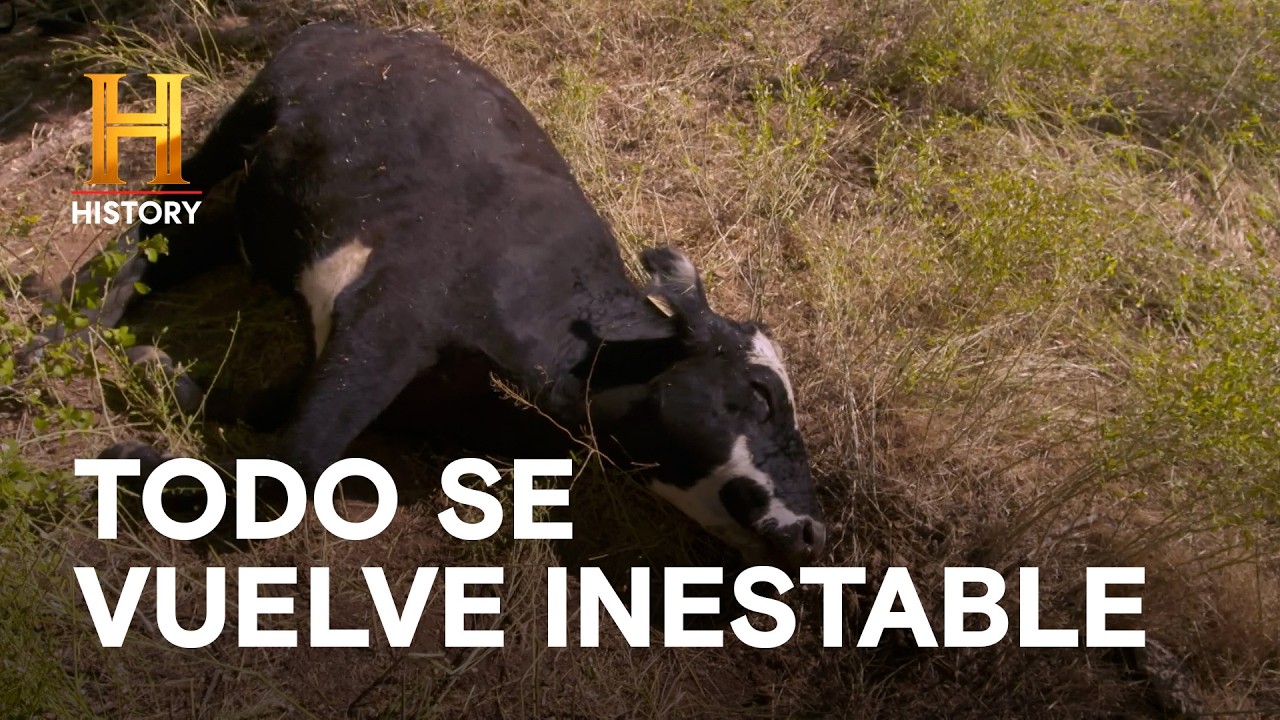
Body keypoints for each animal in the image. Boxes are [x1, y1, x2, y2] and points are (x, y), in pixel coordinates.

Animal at [51, 22, 826, 569]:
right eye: (761, 394)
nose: (816, 532)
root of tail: (367, 29)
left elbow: (263, 414)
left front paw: (161, 378)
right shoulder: (391, 316)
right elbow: (289, 474)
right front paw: (130, 459)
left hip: (262, 200)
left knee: (185, 241)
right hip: (244, 115)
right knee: (150, 221)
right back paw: (60, 327)